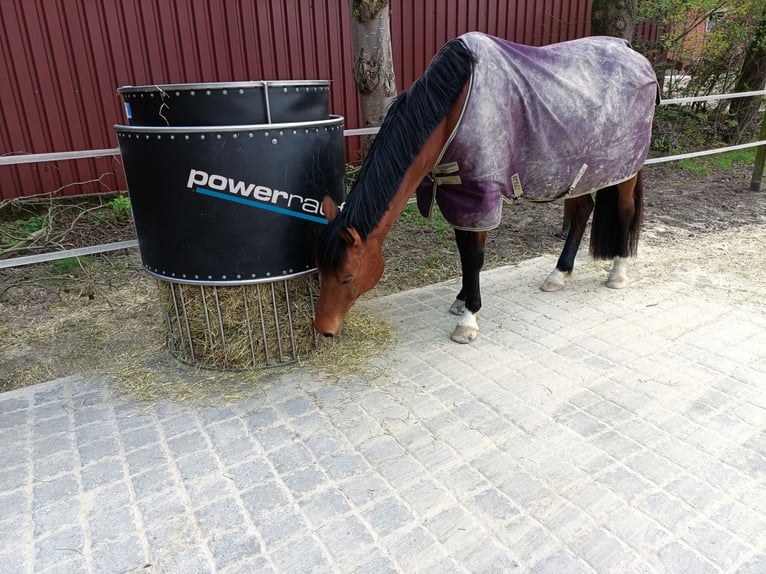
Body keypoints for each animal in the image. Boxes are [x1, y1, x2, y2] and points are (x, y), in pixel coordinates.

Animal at [315, 32, 658, 344]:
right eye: (320, 270)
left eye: (346, 278)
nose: (324, 330)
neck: (454, 107)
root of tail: (634, 54)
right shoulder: (458, 195)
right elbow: (463, 252)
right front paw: (461, 299)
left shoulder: (481, 196)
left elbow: (475, 257)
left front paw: (468, 319)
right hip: (578, 172)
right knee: (581, 211)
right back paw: (558, 275)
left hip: (624, 170)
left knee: (624, 211)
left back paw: (618, 273)